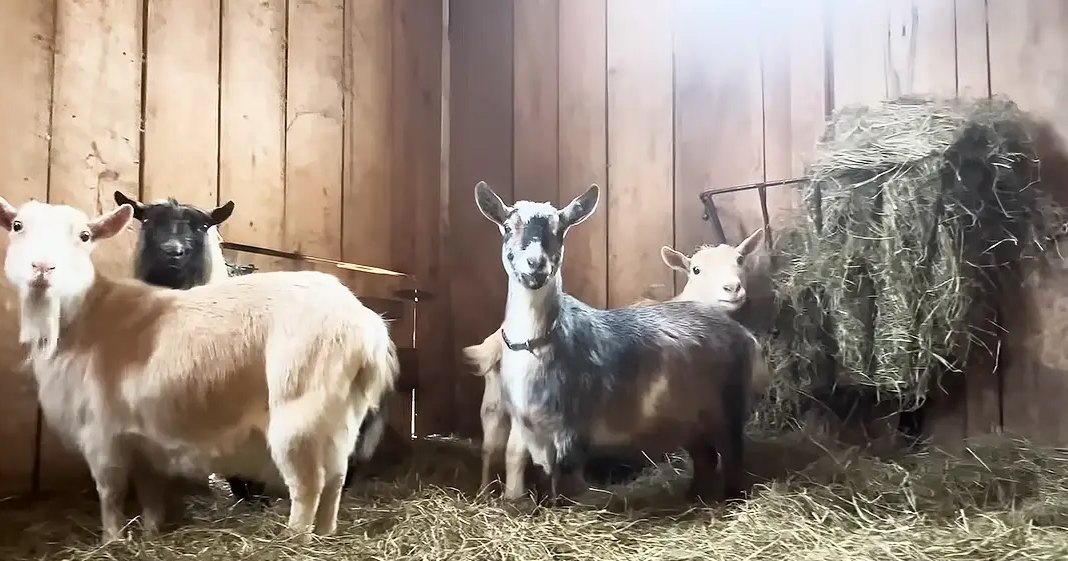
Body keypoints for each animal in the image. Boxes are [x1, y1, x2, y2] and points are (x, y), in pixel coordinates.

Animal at [472, 181, 757, 504]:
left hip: (729, 400)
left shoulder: (573, 426)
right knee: (705, 457)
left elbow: (566, 481)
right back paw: (694, 497)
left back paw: (732, 498)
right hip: (691, 416)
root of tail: (741, 333)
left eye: (561, 229)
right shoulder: (531, 427)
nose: (536, 265)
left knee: (732, 454)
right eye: (507, 227)